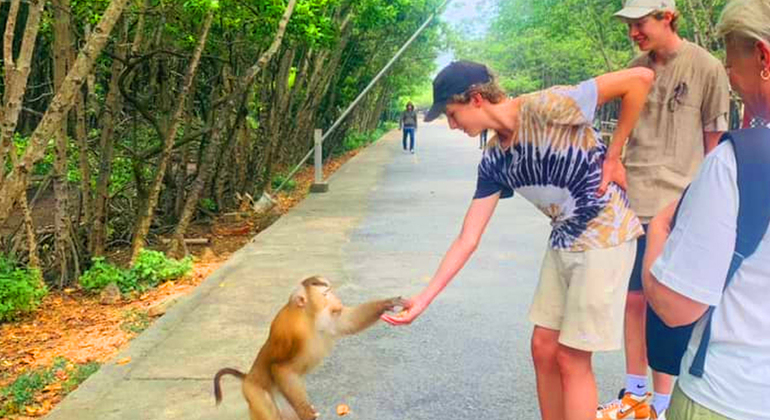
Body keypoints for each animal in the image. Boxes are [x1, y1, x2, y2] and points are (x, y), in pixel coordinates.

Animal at [213, 275, 403, 420]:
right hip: (256, 394)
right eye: (326, 294)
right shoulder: (291, 334)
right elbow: (280, 367)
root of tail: (247, 378)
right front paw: (305, 411)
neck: (307, 316)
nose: (337, 300)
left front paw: (387, 303)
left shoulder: (328, 318)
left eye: (331, 291)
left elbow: (347, 322)